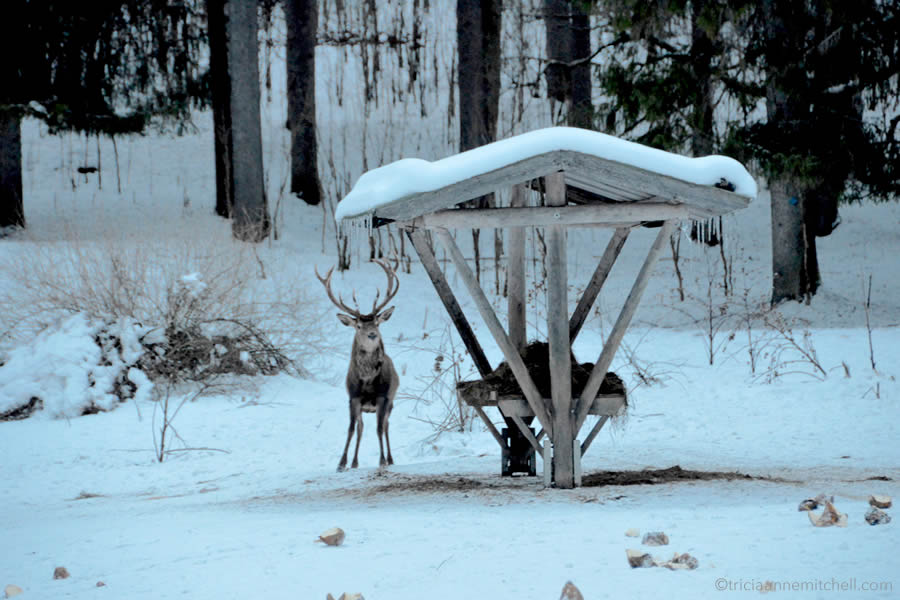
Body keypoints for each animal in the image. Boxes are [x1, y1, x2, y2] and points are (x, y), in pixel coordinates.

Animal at [315, 259, 400, 472]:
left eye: (377, 323)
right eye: (359, 326)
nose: (372, 334)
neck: (367, 381)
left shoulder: (383, 396)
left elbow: (379, 428)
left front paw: (382, 461)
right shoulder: (353, 398)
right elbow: (351, 429)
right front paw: (341, 463)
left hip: (391, 400)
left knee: (385, 425)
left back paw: (390, 458)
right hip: (363, 407)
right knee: (361, 427)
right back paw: (354, 462)